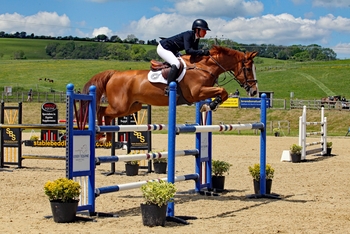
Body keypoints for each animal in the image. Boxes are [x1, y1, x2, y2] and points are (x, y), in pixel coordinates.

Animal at [82, 45, 258, 141]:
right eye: (248, 69)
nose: (254, 91)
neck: (204, 67)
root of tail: (115, 73)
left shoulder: (202, 92)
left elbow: (222, 93)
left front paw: (208, 106)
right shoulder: (197, 93)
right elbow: (223, 91)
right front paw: (210, 106)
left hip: (132, 107)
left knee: (107, 114)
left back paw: (106, 136)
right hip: (120, 106)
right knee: (101, 111)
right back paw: (100, 135)